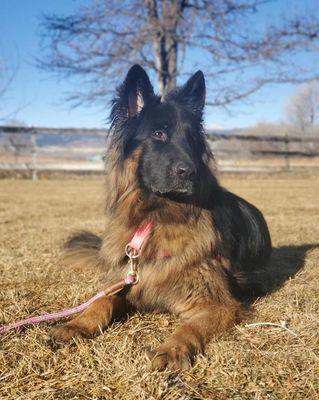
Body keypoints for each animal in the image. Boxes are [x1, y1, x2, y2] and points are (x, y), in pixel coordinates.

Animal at [50, 65, 272, 368]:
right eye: (158, 134)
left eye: (191, 139)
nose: (190, 173)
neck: (157, 216)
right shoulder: (127, 280)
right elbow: (100, 301)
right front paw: (77, 324)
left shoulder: (219, 304)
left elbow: (191, 327)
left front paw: (172, 349)